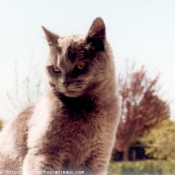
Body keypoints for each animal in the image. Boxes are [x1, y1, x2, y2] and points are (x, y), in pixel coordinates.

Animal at [0, 17, 120, 175]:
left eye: (81, 65)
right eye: (55, 68)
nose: (65, 82)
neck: (83, 108)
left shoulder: (98, 157)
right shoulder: (44, 154)